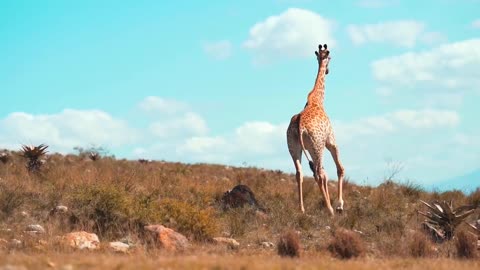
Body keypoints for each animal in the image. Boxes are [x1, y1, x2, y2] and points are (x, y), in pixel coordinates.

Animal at [284, 44, 344, 217]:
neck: (317, 100)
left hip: (294, 147)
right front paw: (339, 205)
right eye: (330, 57)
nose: (328, 70)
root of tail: (299, 126)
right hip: (317, 147)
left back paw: (302, 209)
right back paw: (330, 210)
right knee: (318, 174)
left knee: (300, 173)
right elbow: (340, 169)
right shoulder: (331, 141)